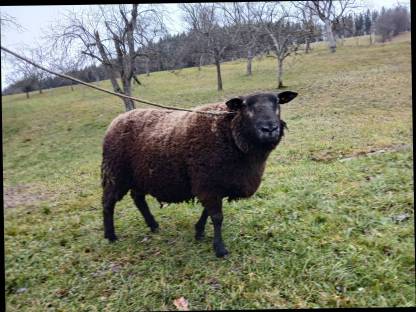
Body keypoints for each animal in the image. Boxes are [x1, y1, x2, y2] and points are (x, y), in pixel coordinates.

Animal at [102, 91, 298, 258]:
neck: (231, 134)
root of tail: (117, 120)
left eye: (277, 102)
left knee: (138, 198)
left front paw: (199, 232)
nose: (270, 128)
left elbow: (207, 212)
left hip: (140, 176)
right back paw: (110, 235)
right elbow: (217, 217)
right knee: (108, 202)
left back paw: (153, 225)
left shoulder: (212, 184)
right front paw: (220, 249)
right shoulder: (207, 183)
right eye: (245, 105)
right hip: (115, 172)